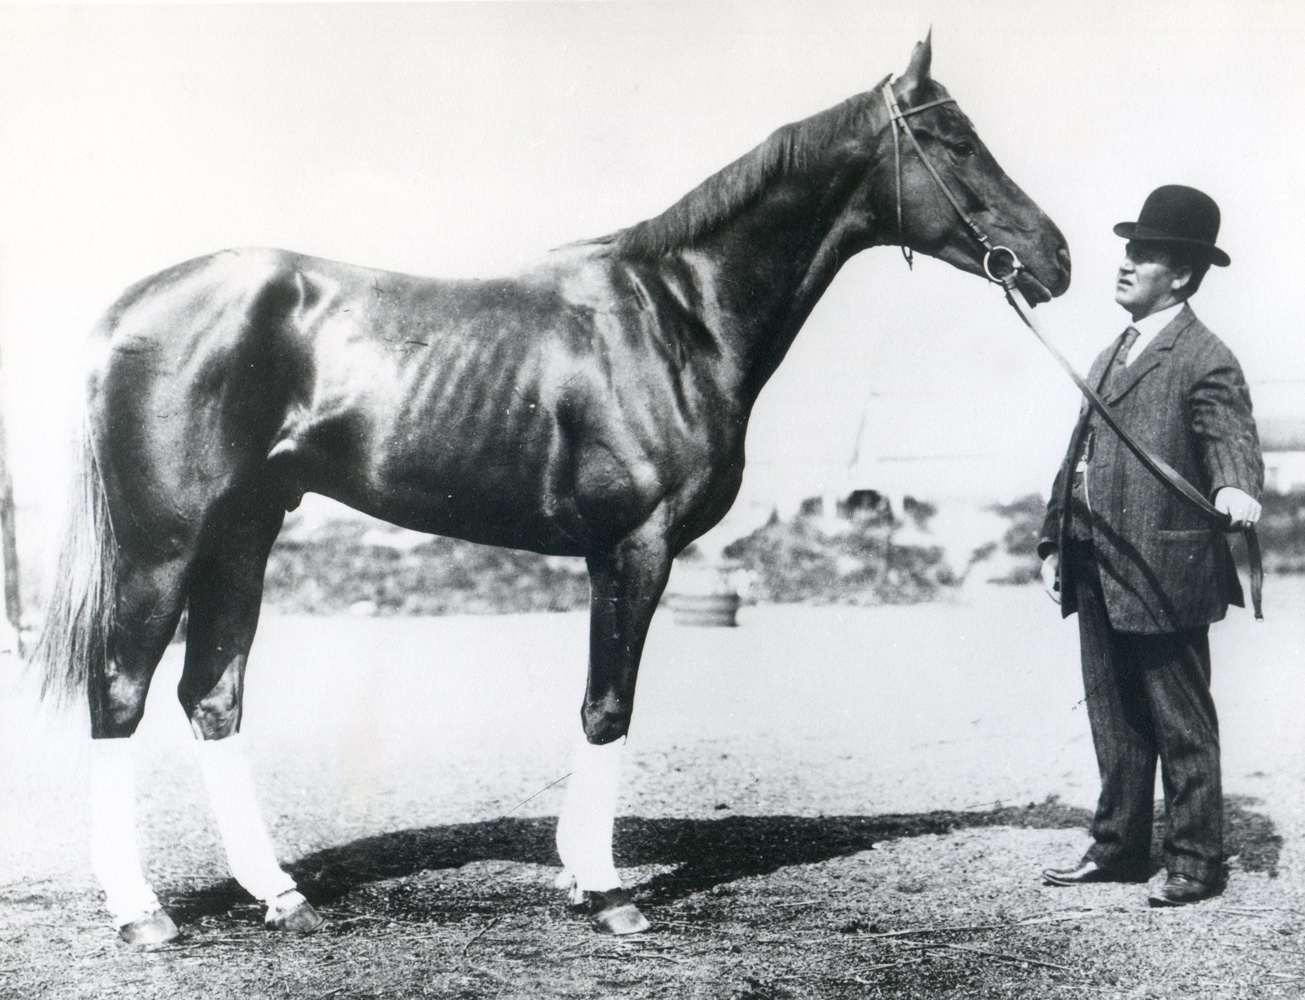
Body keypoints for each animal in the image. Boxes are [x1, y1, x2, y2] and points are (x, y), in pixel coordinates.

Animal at [30, 37, 1070, 950]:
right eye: (952, 141)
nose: (1054, 258)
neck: (677, 317)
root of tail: (126, 313)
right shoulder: (634, 546)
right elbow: (608, 707)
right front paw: (605, 892)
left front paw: (579, 873)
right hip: (163, 544)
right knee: (119, 689)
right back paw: (140, 912)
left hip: (243, 533)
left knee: (211, 695)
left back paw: (280, 895)